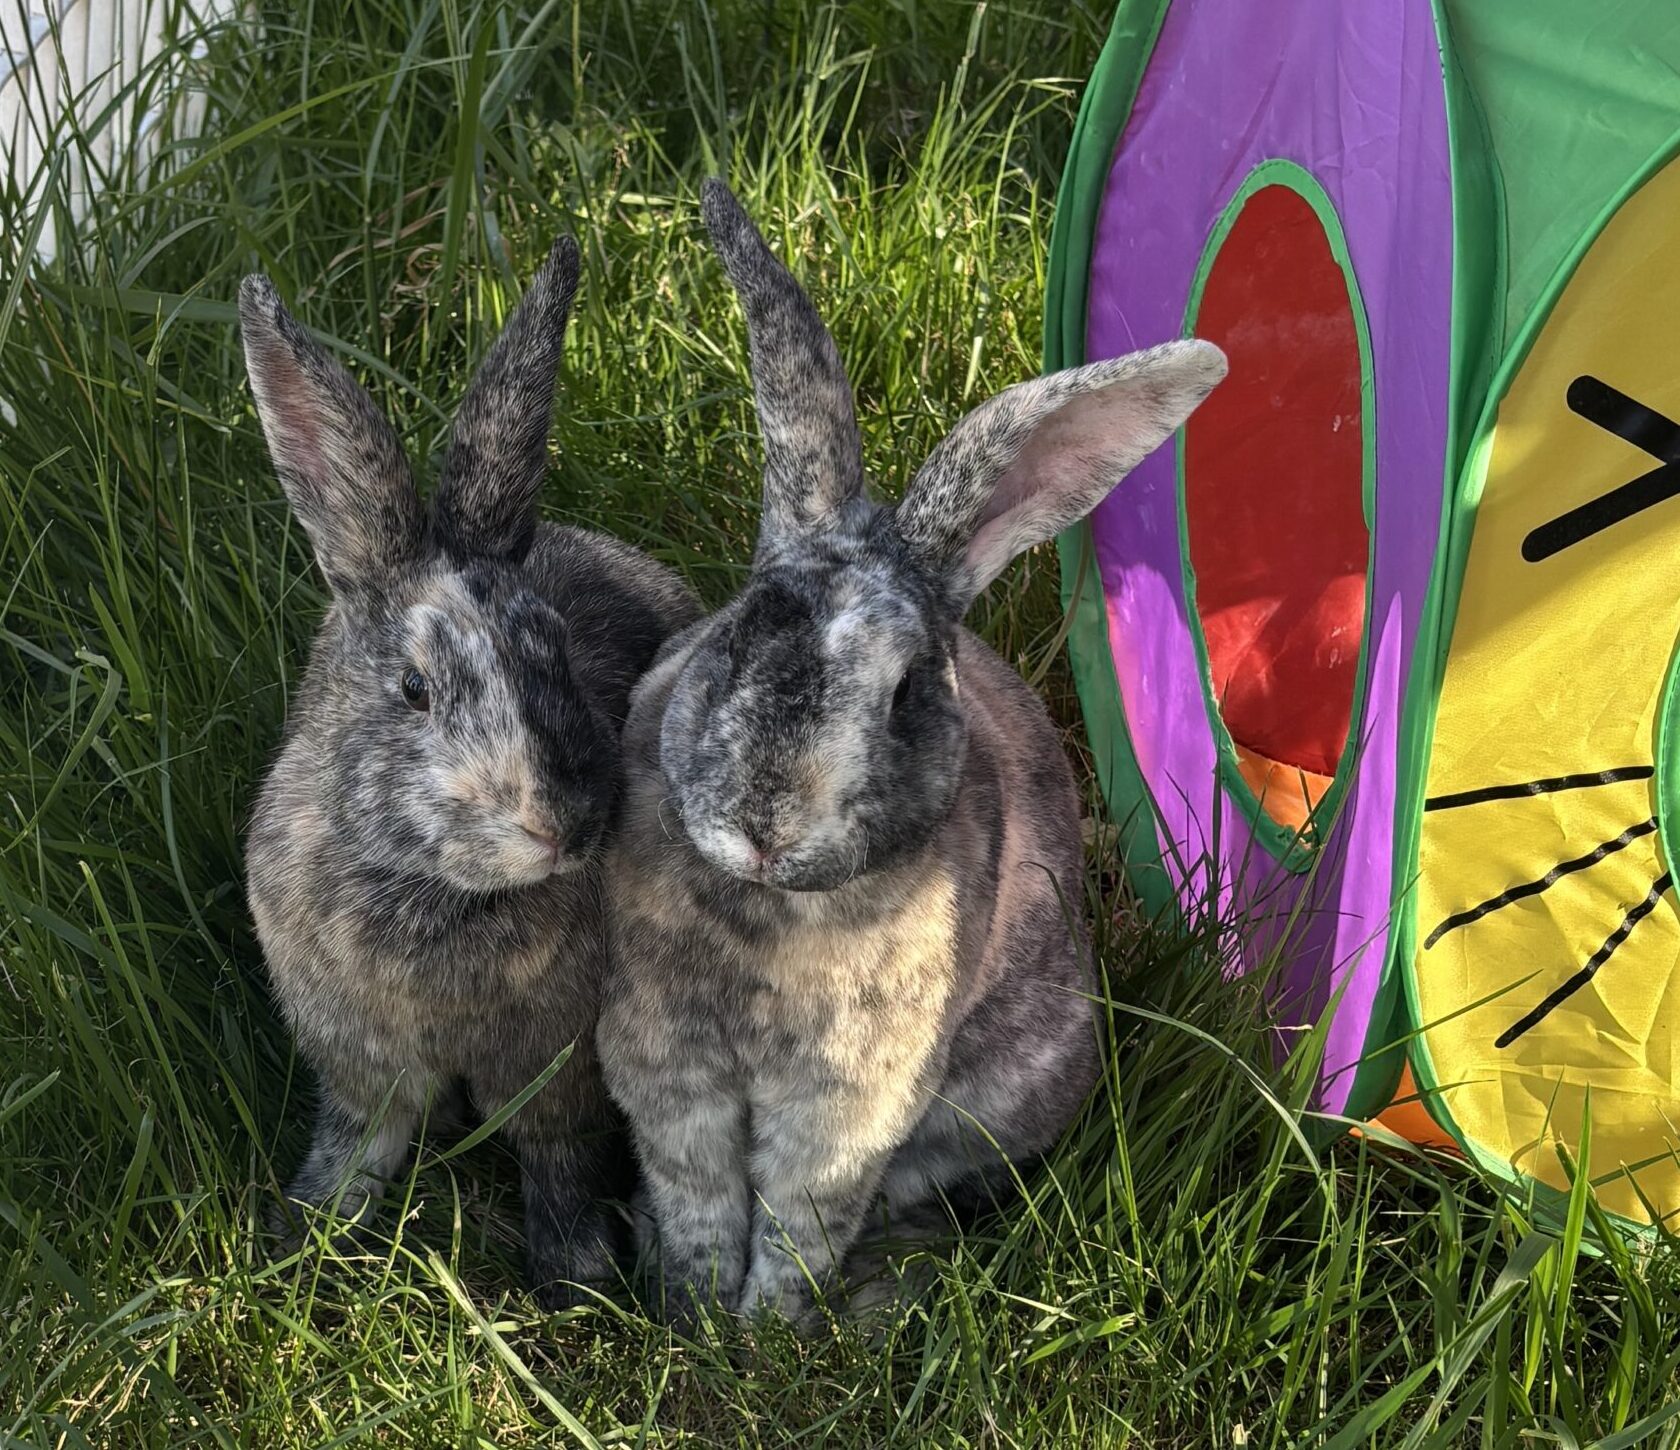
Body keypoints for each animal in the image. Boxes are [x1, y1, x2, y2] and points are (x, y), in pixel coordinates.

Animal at [240, 236, 698, 1309]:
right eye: (414, 689)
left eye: (558, 652)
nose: (562, 824)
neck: (438, 895)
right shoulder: (357, 1059)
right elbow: (357, 1141)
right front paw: (304, 1241)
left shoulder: (558, 1068)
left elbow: (558, 1158)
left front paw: (575, 1282)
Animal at [597, 181, 1226, 1323]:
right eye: (740, 631)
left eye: (906, 692)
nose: (765, 825)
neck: (771, 912)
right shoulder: (669, 1068)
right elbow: (701, 1195)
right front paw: (694, 1305)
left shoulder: (851, 1105)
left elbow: (802, 1216)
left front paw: (762, 1331)